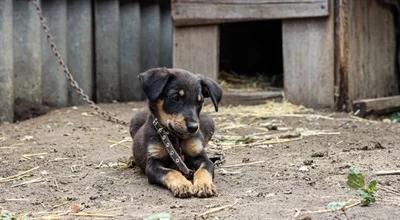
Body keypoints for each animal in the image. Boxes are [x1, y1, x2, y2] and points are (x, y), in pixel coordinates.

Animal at [130, 67, 222, 198]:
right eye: (175, 98)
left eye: (200, 102)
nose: (193, 128)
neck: (175, 137)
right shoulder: (153, 164)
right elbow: (171, 171)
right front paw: (182, 185)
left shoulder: (201, 157)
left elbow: (204, 169)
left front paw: (204, 185)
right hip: (134, 120)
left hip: (209, 122)